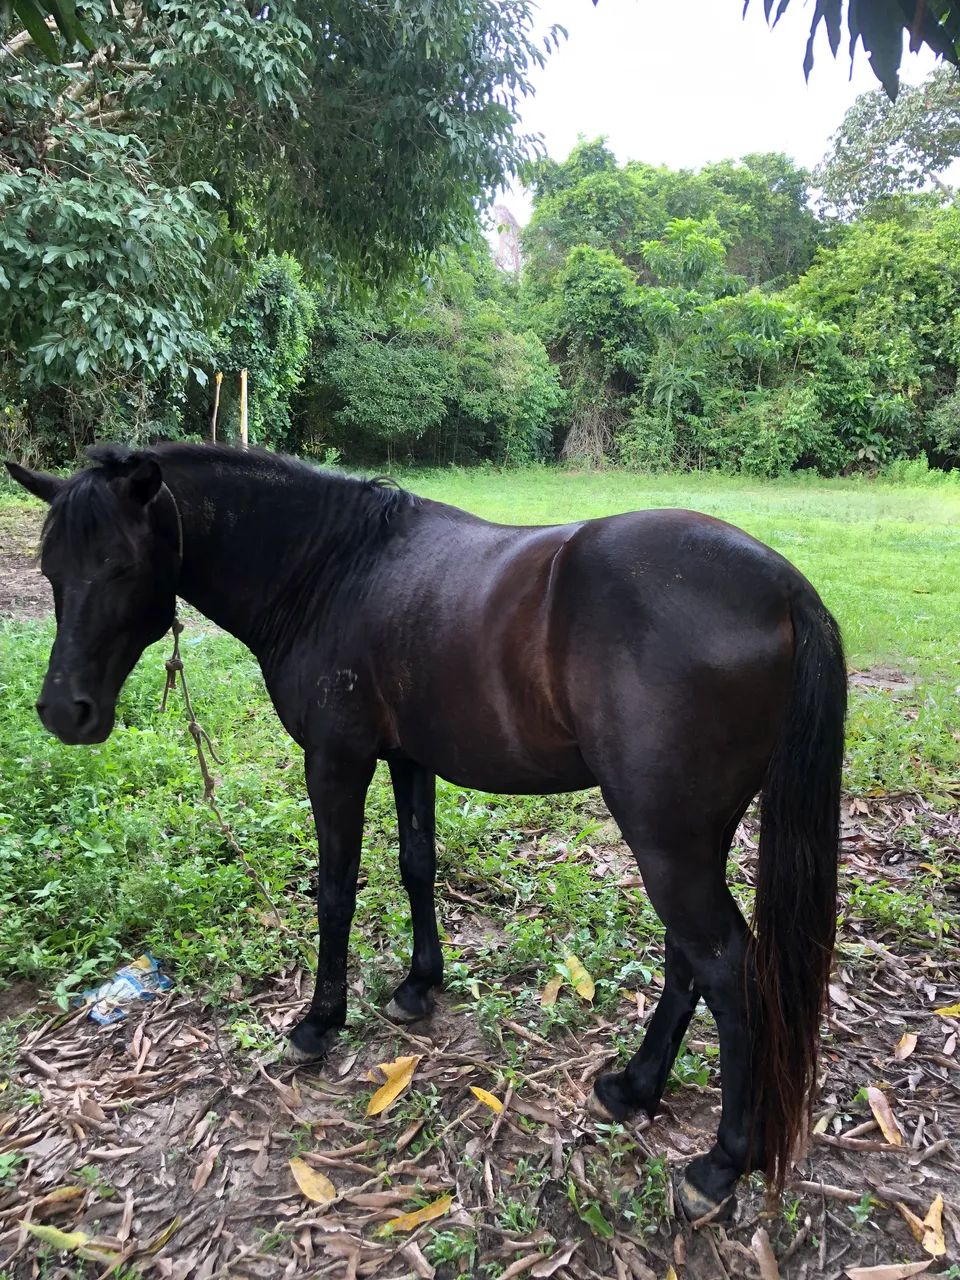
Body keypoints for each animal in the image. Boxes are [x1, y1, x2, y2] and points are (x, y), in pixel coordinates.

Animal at [6, 443, 846, 1218]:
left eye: (120, 564)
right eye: (51, 568)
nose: (64, 711)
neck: (331, 571)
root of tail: (782, 587)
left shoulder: (336, 761)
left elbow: (336, 891)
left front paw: (320, 1022)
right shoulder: (408, 758)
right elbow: (417, 864)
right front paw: (418, 986)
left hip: (666, 841)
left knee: (726, 967)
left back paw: (722, 1163)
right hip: (687, 840)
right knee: (689, 959)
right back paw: (635, 1088)